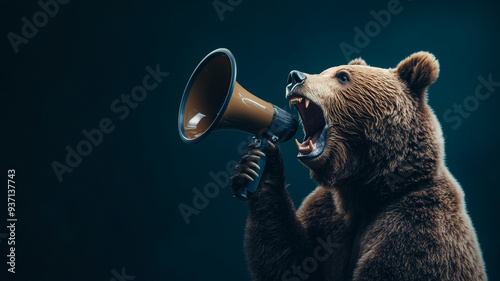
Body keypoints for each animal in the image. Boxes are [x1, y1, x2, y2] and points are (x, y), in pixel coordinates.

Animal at [231, 52, 488, 280]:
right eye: (324, 71)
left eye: (343, 76)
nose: (294, 76)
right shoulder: (327, 215)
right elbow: (292, 262)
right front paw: (256, 170)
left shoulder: (418, 224)